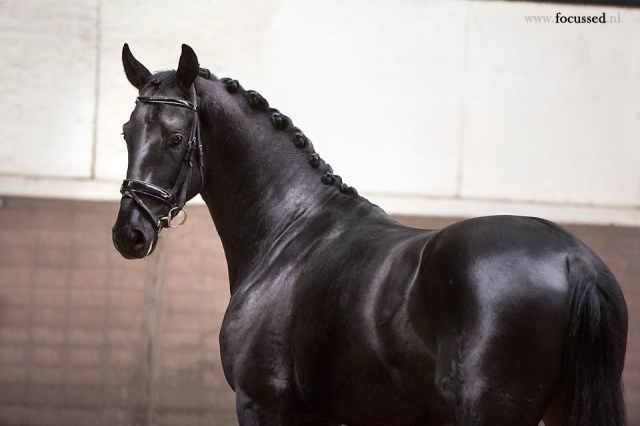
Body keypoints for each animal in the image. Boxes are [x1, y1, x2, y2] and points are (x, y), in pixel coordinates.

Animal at [112, 44, 628, 426]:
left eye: (176, 138)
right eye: (126, 133)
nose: (128, 234)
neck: (290, 231)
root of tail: (574, 261)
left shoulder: (262, 403)